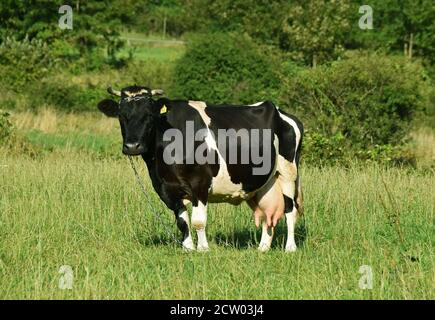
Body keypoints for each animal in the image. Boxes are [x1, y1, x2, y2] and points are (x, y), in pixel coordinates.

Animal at [98, 85, 304, 252]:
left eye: (149, 115)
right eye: (121, 115)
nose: (133, 146)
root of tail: (282, 112)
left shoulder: (200, 183)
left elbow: (198, 221)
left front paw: (203, 249)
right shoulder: (165, 188)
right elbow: (182, 221)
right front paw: (188, 248)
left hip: (288, 173)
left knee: (290, 210)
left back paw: (290, 248)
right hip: (263, 182)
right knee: (267, 212)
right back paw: (263, 248)